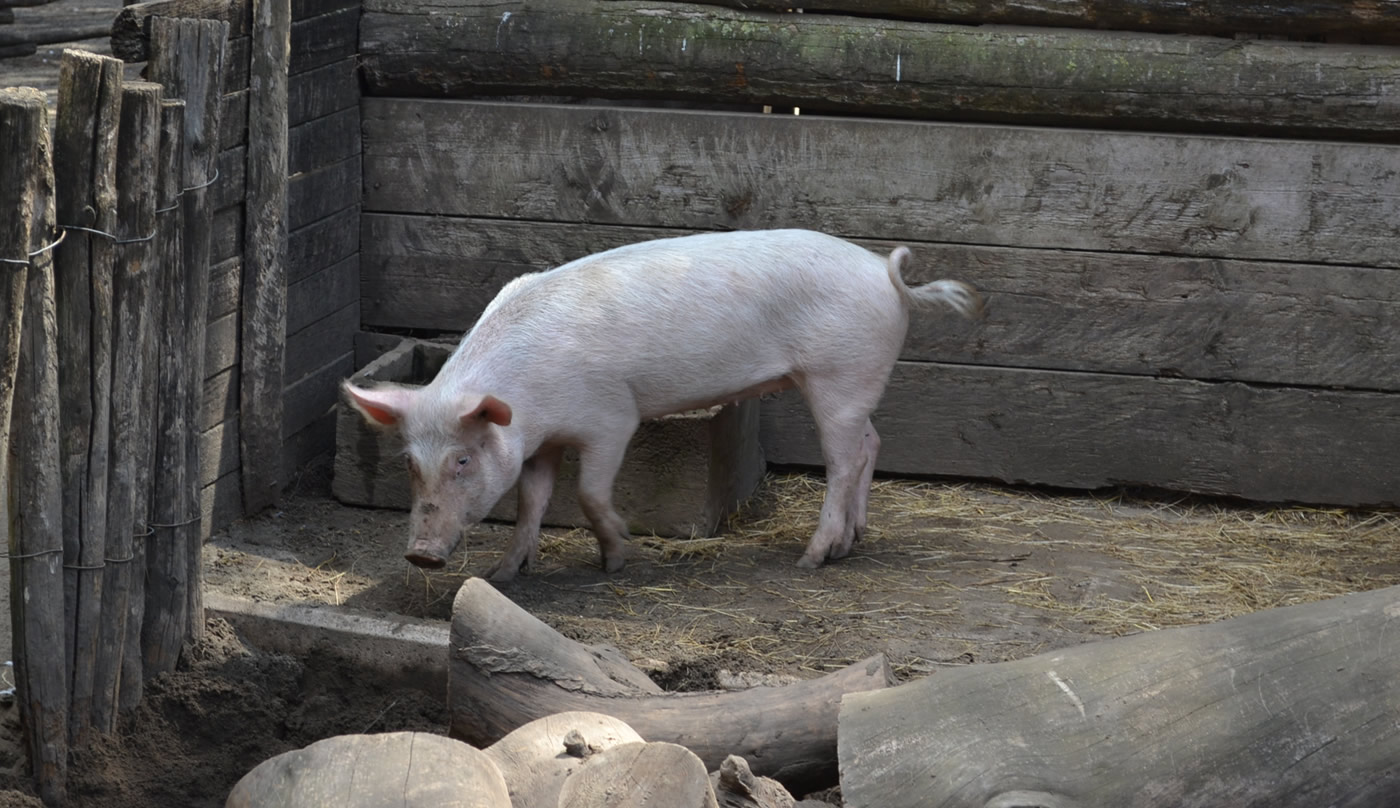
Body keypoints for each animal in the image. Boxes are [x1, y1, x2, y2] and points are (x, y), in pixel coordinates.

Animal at [343, 228, 980, 579]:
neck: (531, 403)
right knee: (871, 442)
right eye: (409, 464)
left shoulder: (611, 420)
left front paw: (617, 557)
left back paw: (812, 558)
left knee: (844, 460)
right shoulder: (539, 441)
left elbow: (589, 492)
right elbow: (532, 500)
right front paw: (505, 573)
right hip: (852, 383)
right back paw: (853, 542)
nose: (422, 555)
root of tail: (885, 273)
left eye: (462, 460)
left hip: (839, 375)